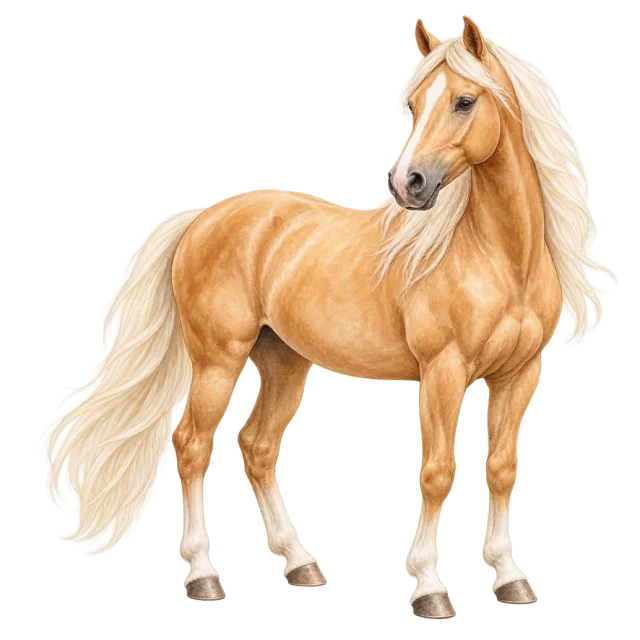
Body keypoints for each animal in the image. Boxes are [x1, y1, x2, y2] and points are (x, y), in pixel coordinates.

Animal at [40, 15, 613, 620]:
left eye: (464, 100)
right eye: (413, 104)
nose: (407, 184)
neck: (500, 257)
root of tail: (199, 220)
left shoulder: (519, 376)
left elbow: (502, 469)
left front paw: (510, 580)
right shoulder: (444, 373)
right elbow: (437, 473)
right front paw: (430, 589)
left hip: (285, 364)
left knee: (257, 448)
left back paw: (300, 565)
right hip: (218, 364)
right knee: (193, 446)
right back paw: (203, 577)